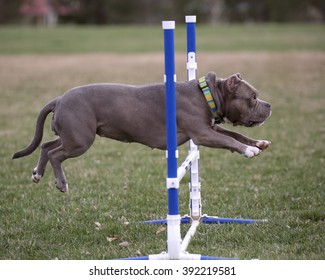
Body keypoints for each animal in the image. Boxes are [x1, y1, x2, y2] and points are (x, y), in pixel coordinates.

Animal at [13, 71, 270, 192]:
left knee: (46, 146)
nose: (269, 105)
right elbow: (229, 140)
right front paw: (248, 151)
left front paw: (257, 143)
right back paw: (62, 183)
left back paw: (37, 173)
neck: (208, 94)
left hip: (71, 136)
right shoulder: (203, 134)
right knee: (55, 154)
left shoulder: (211, 128)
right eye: (252, 97)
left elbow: (235, 135)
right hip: (80, 141)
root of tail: (59, 99)